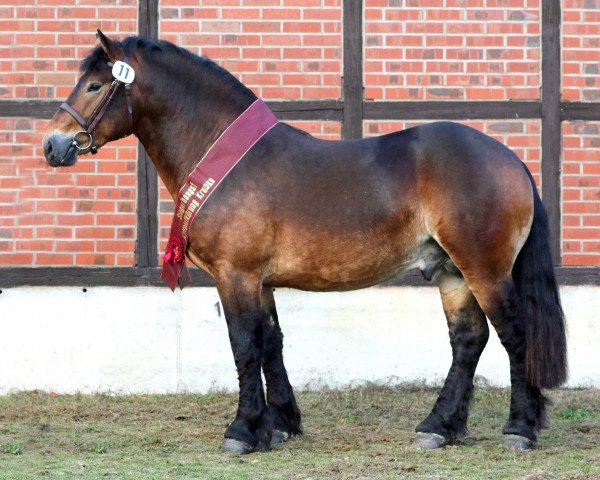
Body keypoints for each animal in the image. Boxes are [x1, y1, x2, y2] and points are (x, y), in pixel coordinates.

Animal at [42, 32, 568, 454]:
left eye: (94, 85)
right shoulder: (260, 281)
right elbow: (271, 343)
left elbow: (244, 346)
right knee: (468, 340)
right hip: (451, 272)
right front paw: (278, 425)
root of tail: (511, 160)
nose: (53, 145)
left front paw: (242, 431)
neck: (226, 157)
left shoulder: (235, 275)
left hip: (485, 270)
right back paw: (439, 427)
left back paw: (519, 429)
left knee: (514, 335)